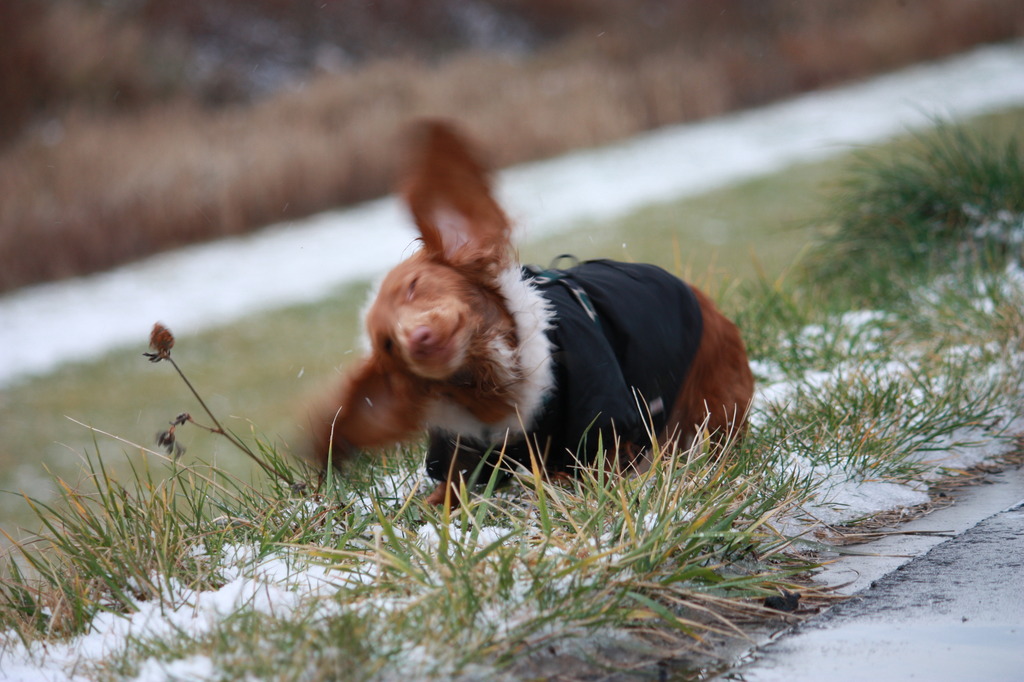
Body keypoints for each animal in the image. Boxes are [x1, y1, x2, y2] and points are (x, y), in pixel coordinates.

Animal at [307, 119, 757, 501]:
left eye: (415, 286)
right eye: (387, 345)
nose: (419, 340)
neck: (496, 380)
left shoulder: (605, 425)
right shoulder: (465, 458)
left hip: (711, 407)